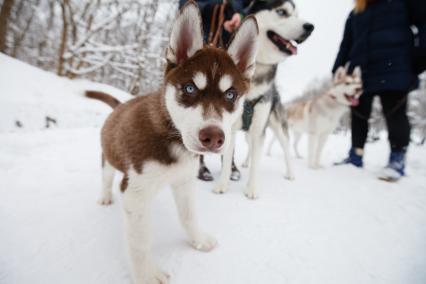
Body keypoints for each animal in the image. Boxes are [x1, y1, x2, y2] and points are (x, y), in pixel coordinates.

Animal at [85, 1, 258, 282]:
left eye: (231, 95)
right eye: (189, 89)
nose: (213, 137)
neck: (173, 137)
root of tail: (118, 106)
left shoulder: (185, 181)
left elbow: (188, 216)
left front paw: (197, 240)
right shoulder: (135, 191)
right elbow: (140, 241)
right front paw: (146, 275)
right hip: (109, 157)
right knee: (106, 176)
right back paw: (105, 196)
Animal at [213, 0, 312, 200]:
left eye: (297, 15)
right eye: (282, 12)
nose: (309, 27)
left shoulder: (259, 128)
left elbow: (257, 165)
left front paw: (251, 189)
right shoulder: (230, 128)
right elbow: (227, 160)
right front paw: (222, 184)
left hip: (277, 127)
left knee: (286, 149)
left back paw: (290, 173)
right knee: (251, 148)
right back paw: (245, 163)